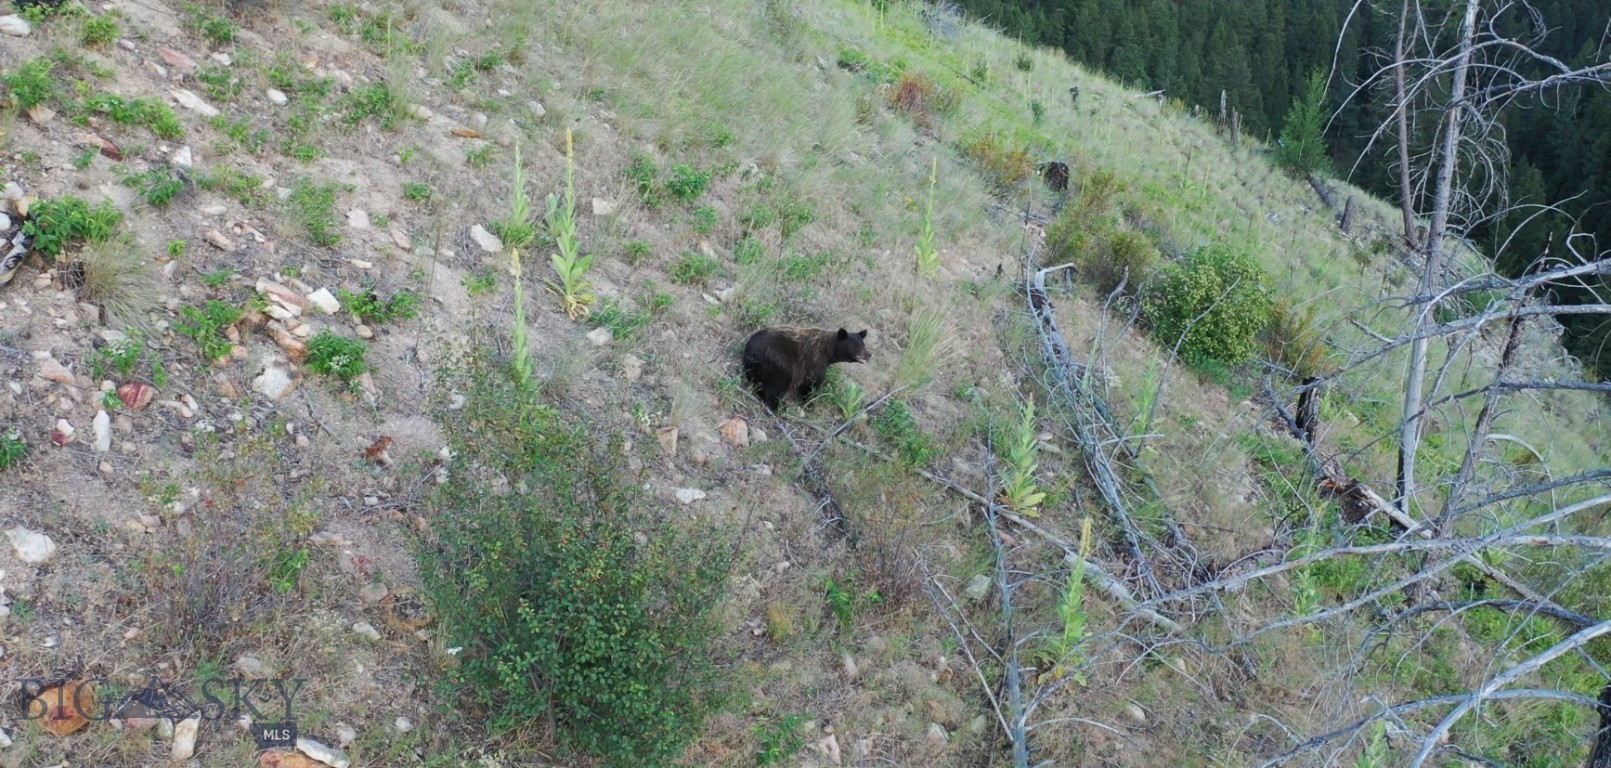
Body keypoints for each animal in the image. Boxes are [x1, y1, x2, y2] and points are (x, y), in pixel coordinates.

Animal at [741, 328, 869, 412]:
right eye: (856, 347)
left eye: (864, 345)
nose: (869, 355)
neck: (828, 352)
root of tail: (750, 353)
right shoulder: (814, 361)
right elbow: (812, 382)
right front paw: (809, 404)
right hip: (776, 359)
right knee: (778, 382)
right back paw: (778, 407)